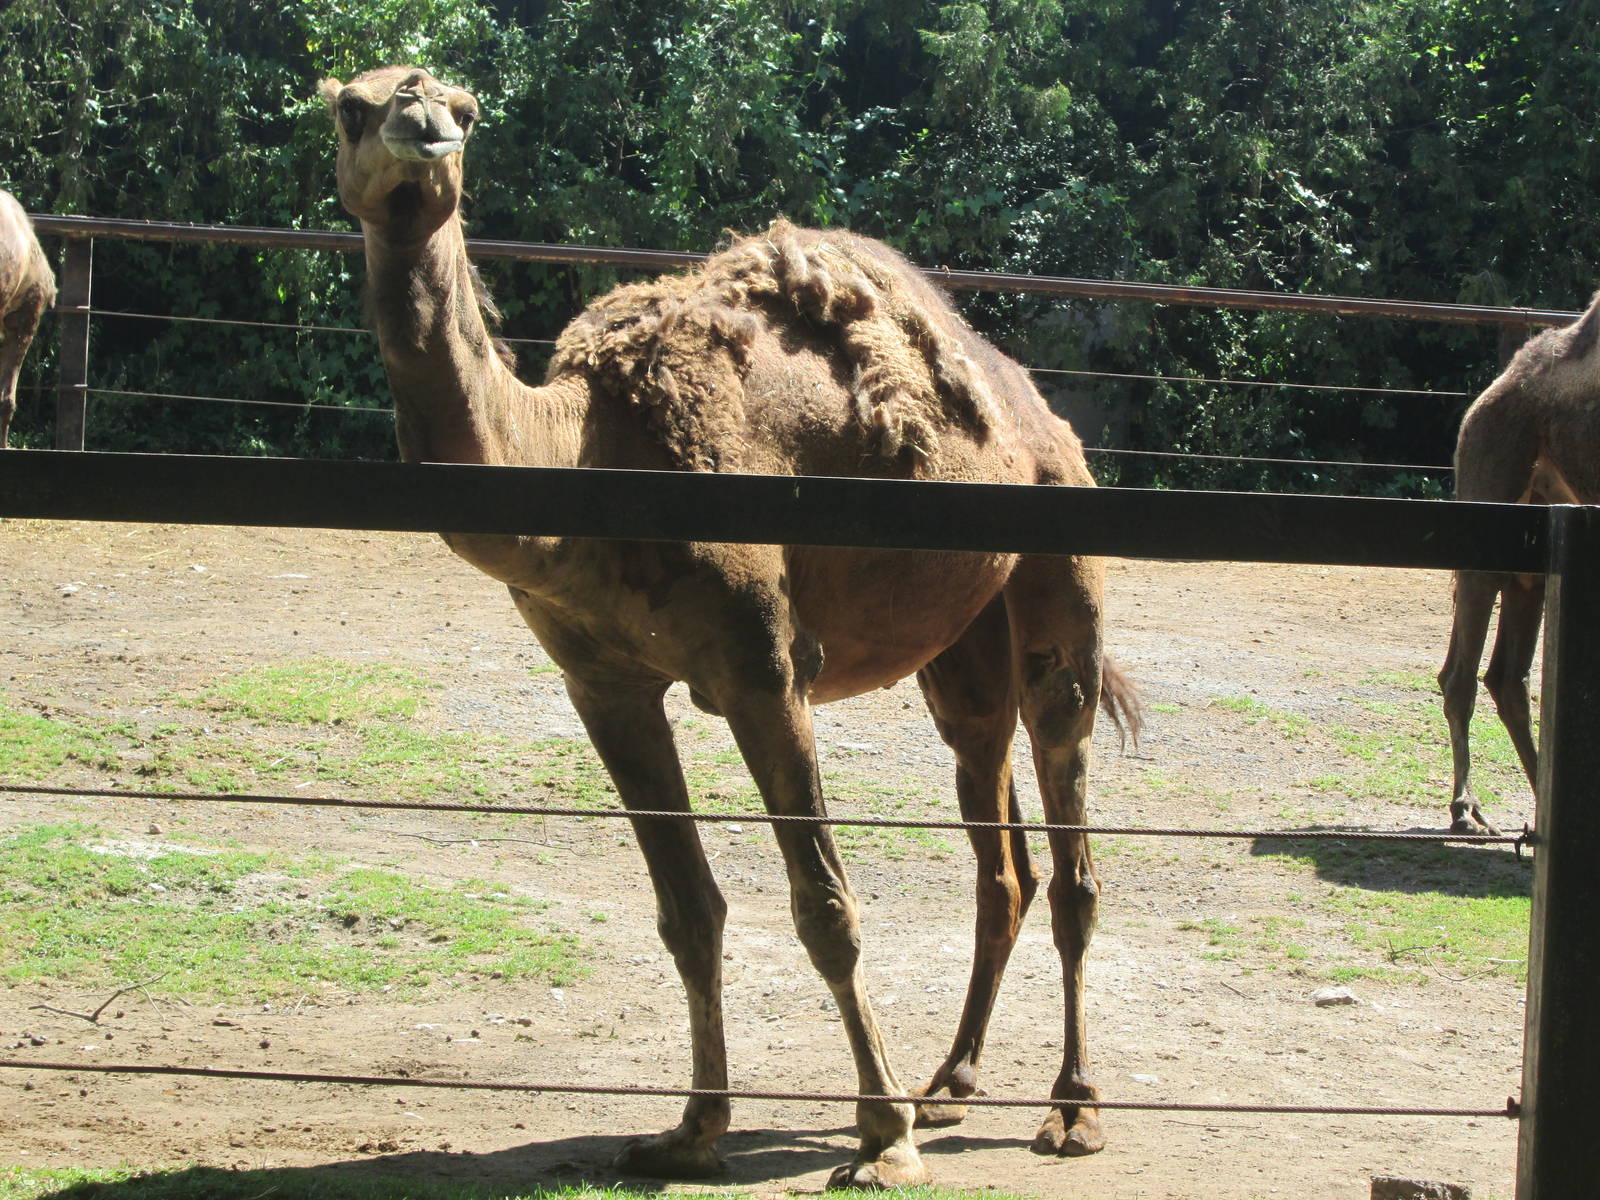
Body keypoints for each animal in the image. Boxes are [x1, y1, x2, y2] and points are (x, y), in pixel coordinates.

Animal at [322, 66, 1139, 1187]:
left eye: (467, 108)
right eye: (348, 110)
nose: (422, 130)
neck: (582, 452)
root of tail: (1038, 414)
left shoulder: (762, 666)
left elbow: (825, 907)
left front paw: (880, 1141)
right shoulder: (603, 682)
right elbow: (688, 911)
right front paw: (690, 1128)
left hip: (1058, 578)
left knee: (1070, 854)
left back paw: (1069, 1110)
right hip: (962, 646)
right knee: (997, 848)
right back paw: (951, 1083)